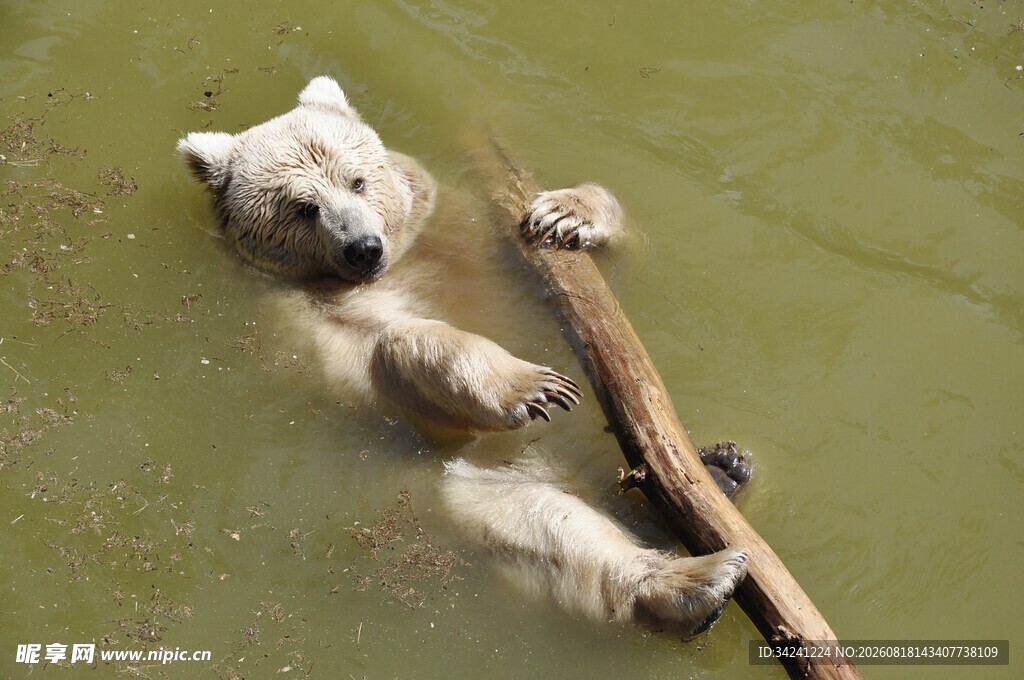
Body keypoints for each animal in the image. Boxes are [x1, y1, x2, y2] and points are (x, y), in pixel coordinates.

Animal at [178, 76, 748, 636]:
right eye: (303, 206)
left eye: (356, 181)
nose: (363, 247)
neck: (403, 259)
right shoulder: (303, 317)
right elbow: (384, 355)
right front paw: (531, 385)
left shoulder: (461, 231)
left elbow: (613, 282)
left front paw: (565, 213)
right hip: (475, 482)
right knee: (551, 527)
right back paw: (701, 577)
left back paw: (723, 468)